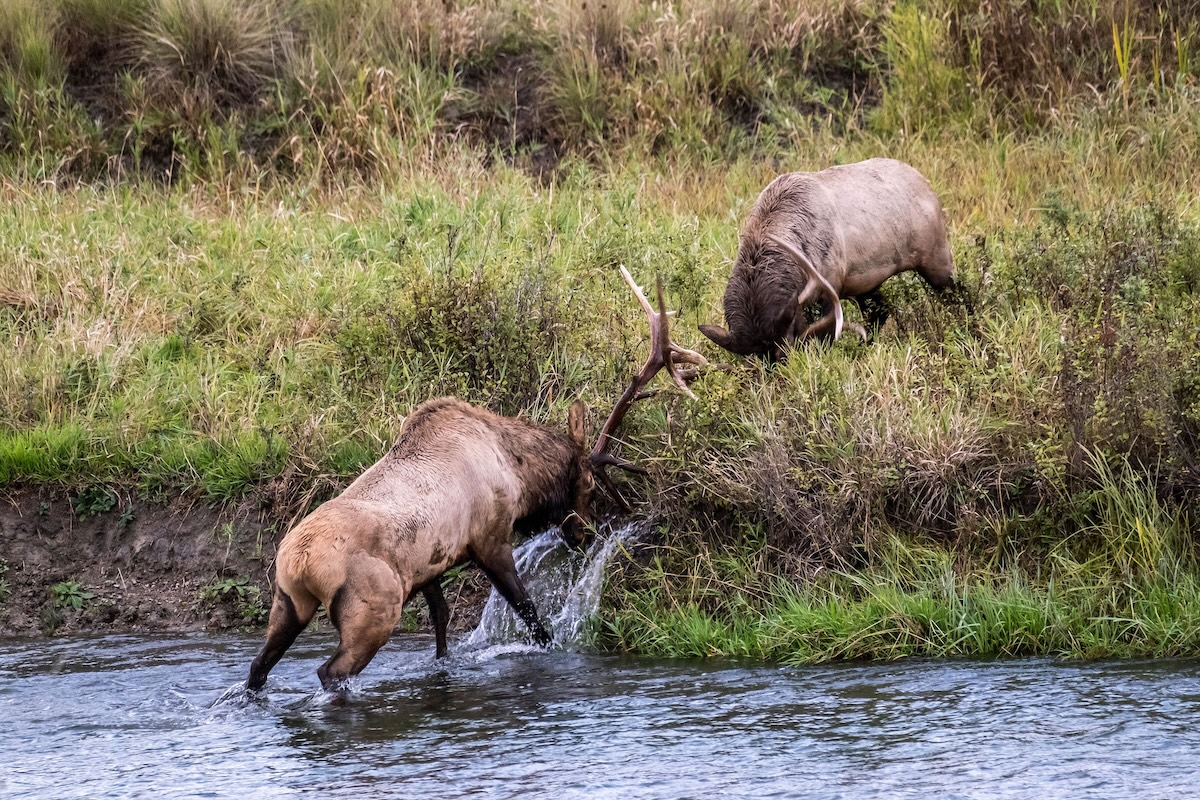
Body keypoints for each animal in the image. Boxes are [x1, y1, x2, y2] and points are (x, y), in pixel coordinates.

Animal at [246, 268, 705, 694]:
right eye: (590, 485)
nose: (583, 534)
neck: (518, 474)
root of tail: (300, 562)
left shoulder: (429, 567)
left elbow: (442, 621)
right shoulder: (490, 537)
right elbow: (529, 613)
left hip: (287, 604)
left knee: (258, 666)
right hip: (373, 610)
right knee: (329, 672)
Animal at [698, 158, 955, 360]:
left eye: (784, 354)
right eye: (752, 361)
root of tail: (928, 186)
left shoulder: (829, 288)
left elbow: (825, 339)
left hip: (937, 258)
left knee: (956, 294)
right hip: (866, 282)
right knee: (880, 312)